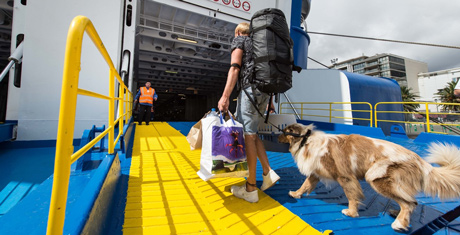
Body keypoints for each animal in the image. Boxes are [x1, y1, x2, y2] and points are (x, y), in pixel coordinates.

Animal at [278, 123, 460, 231]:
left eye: (285, 131)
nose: (276, 134)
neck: (305, 140)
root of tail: (420, 161)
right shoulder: (316, 173)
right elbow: (304, 185)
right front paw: (296, 194)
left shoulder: (345, 177)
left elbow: (352, 196)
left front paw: (351, 213)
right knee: (410, 201)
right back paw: (397, 214)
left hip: (376, 178)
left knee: (409, 203)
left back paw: (399, 223)